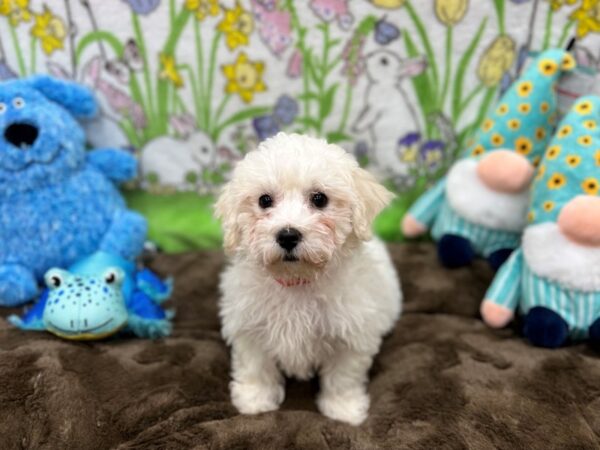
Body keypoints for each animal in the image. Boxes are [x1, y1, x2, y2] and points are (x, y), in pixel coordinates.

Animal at [216, 132, 404, 424]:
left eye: (319, 199)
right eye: (264, 200)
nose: (287, 235)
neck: (297, 280)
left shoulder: (351, 335)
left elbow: (343, 376)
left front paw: (343, 409)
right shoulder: (249, 327)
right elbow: (256, 365)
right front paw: (255, 400)